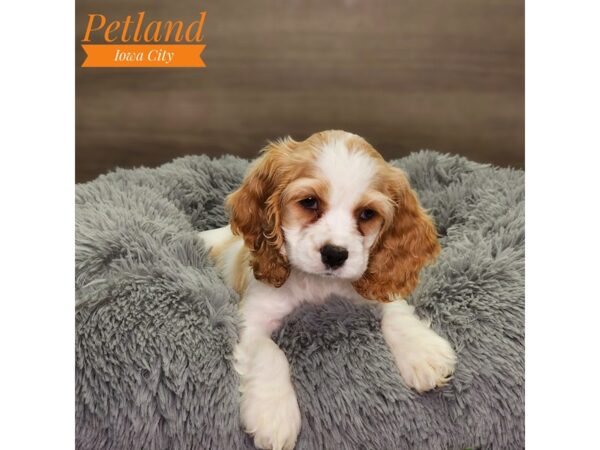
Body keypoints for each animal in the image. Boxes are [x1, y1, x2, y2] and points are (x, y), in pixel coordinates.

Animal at [199, 130, 458, 450]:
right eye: (309, 202)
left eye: (367, 214)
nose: (335, 254)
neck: (318, 284)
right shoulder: (252, 318)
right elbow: (270, 352)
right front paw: (274, 415)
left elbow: (395, 310)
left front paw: (422, 351)